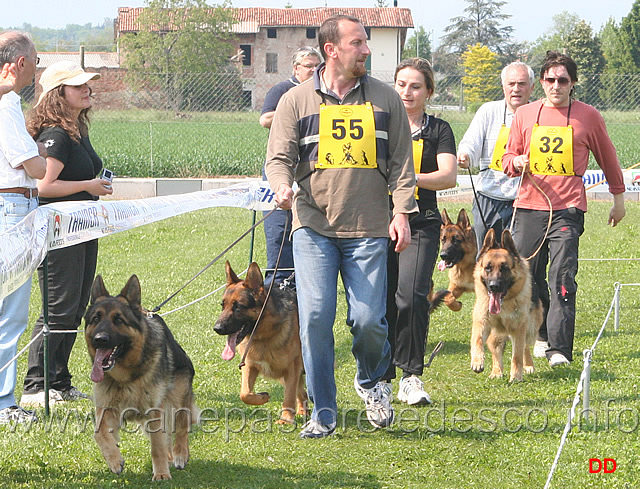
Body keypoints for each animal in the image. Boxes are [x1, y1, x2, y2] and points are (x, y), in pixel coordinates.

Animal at [85, 274, 199, 480]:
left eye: (118, 319)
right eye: (96, 318)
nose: (100, 339)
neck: (127, 378)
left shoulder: (154, 411)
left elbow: (157, 446)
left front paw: (161, 474)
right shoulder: (107, 409)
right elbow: (99, 433)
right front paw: (114, 460)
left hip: (178, 397)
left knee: (182, 424)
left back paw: (180, 454)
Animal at [212, 260, 308, 424]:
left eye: (238, 307)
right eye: (222, 305)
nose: (217, 328)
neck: (263, 337)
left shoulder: (292, 368)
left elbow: (289, 395)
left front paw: (286, 418)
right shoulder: (249, 365)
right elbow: (244, 394)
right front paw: (262, 397)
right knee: (302, 391)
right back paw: (303, 410)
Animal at [470, 229, 540, 382]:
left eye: (505, 268)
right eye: (488, 268)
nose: (494, 286)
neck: (505, 302)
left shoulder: (519, 328)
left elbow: (517, 355)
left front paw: (516, 376)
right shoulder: (482, 322)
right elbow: (477, 340)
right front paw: (477, 361)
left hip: (530, 329)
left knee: (525, 346)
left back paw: (528, 366)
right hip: (497, 335)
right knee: (497, 352)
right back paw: (496, 372)